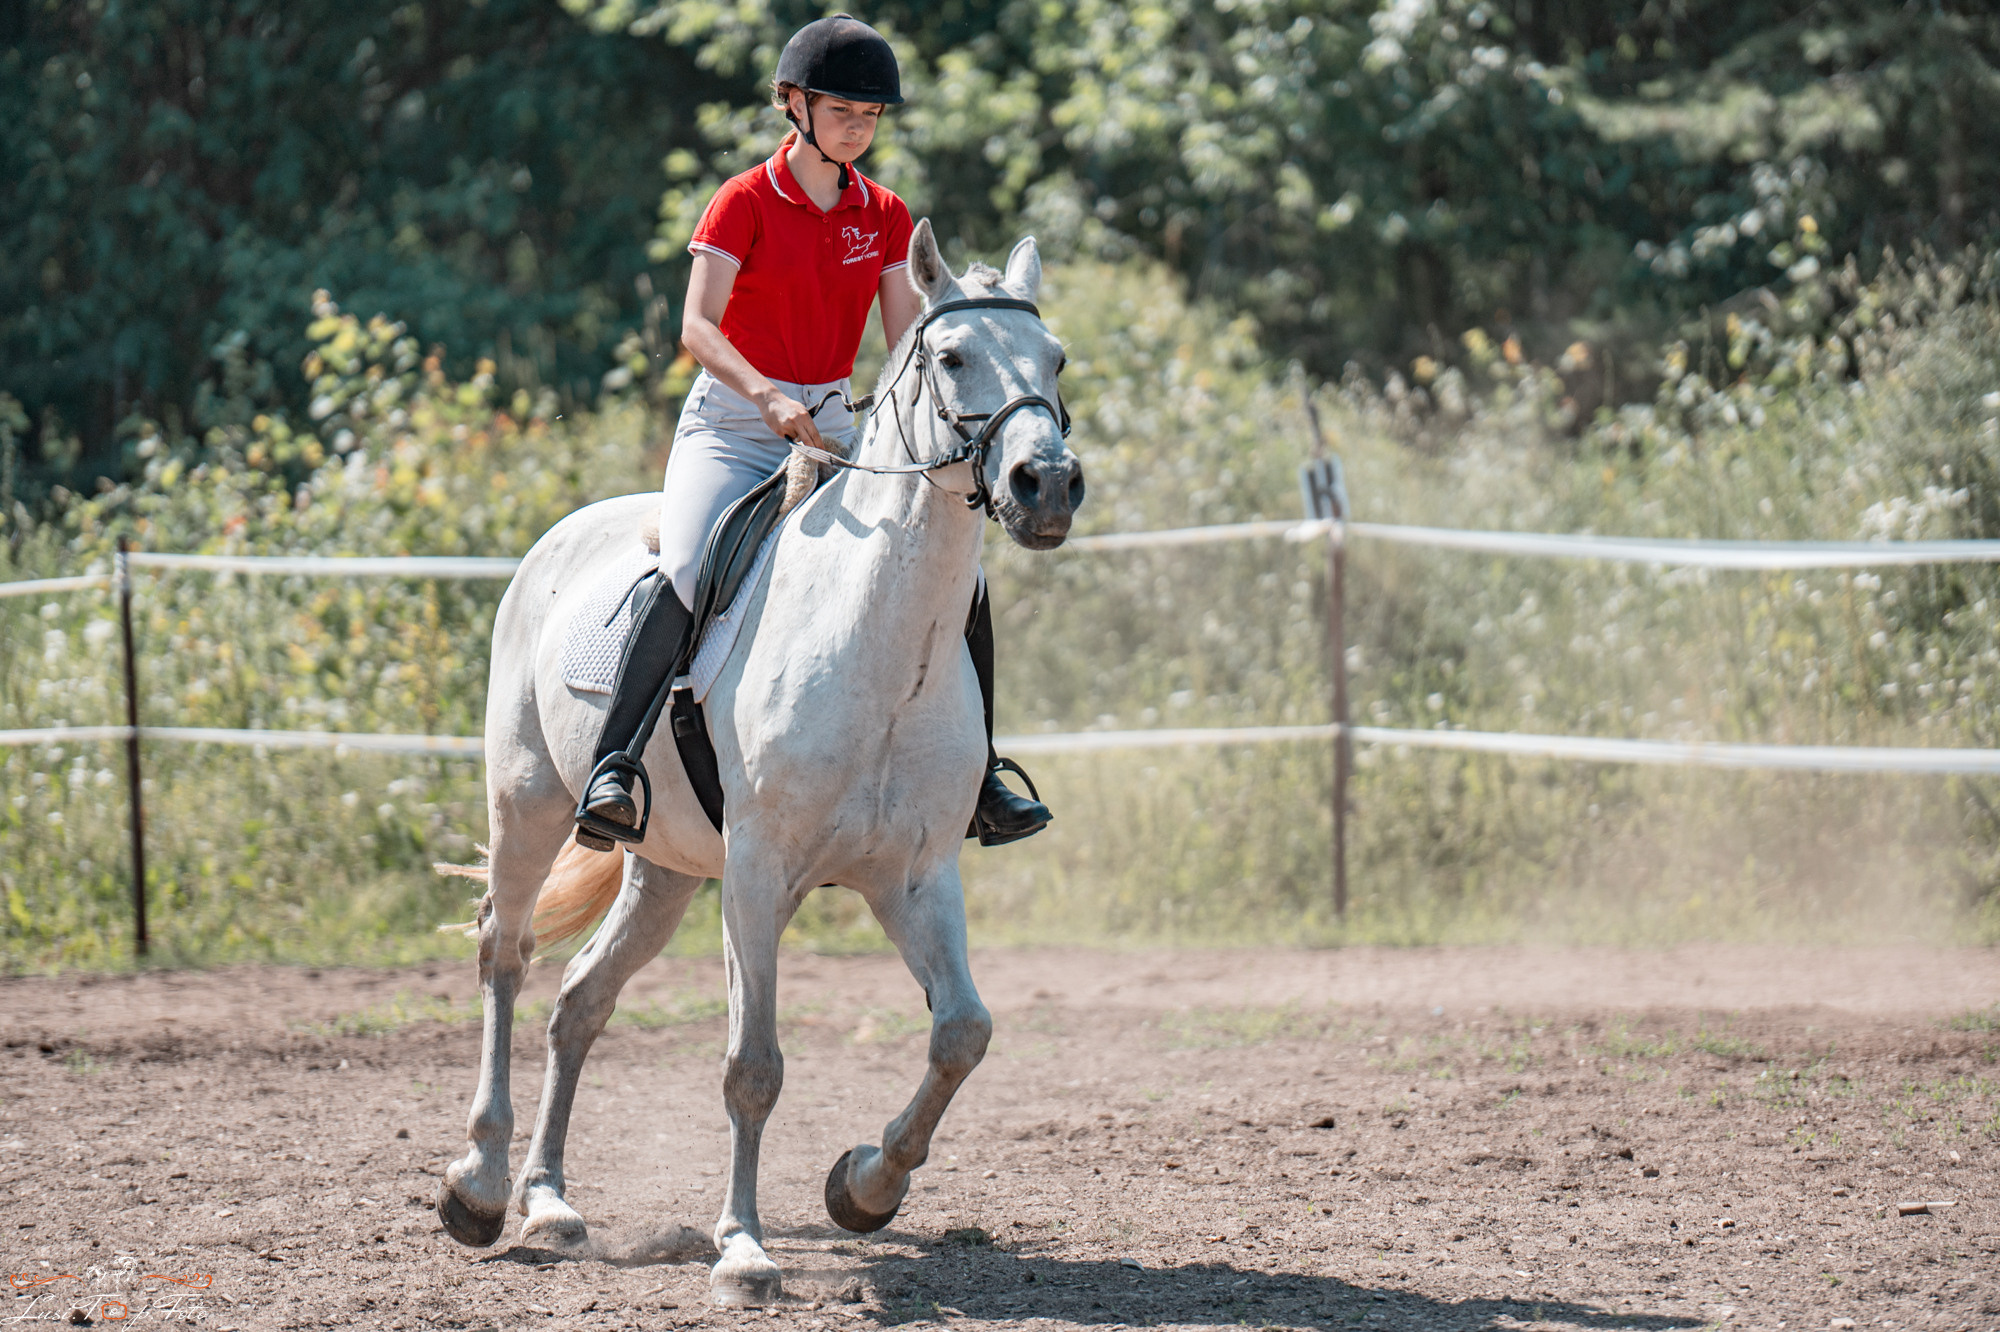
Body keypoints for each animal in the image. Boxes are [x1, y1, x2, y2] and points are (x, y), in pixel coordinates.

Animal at [434, 221, 1084, 1306]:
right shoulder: (758, 875)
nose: (1047, 486)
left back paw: (552, 1203)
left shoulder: (914, 877)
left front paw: (864, 1186)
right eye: (953, 358)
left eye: (1057, 361)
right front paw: (742, 1251)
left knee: (578, 1002)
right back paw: (480, 1187)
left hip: (662, 871)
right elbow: (753, 1065)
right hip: (526, 806)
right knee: (506, 955)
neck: (878, 646)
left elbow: (962, 1031)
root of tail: (562, 536)